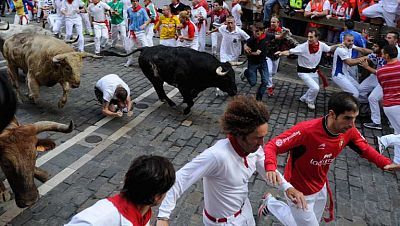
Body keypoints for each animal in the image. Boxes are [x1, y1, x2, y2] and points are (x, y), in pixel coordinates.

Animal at [102, 46, 241, 115]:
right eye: (226, 78)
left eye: (234, 75)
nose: (235, 92)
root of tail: (146, 48)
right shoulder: (182, 86)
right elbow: (191, 102)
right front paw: (185, 110)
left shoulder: (194, 87)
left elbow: (192, 96)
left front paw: (185, 101)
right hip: (154, 77)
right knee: (159, 89)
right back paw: (170, 102)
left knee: (159, 89)